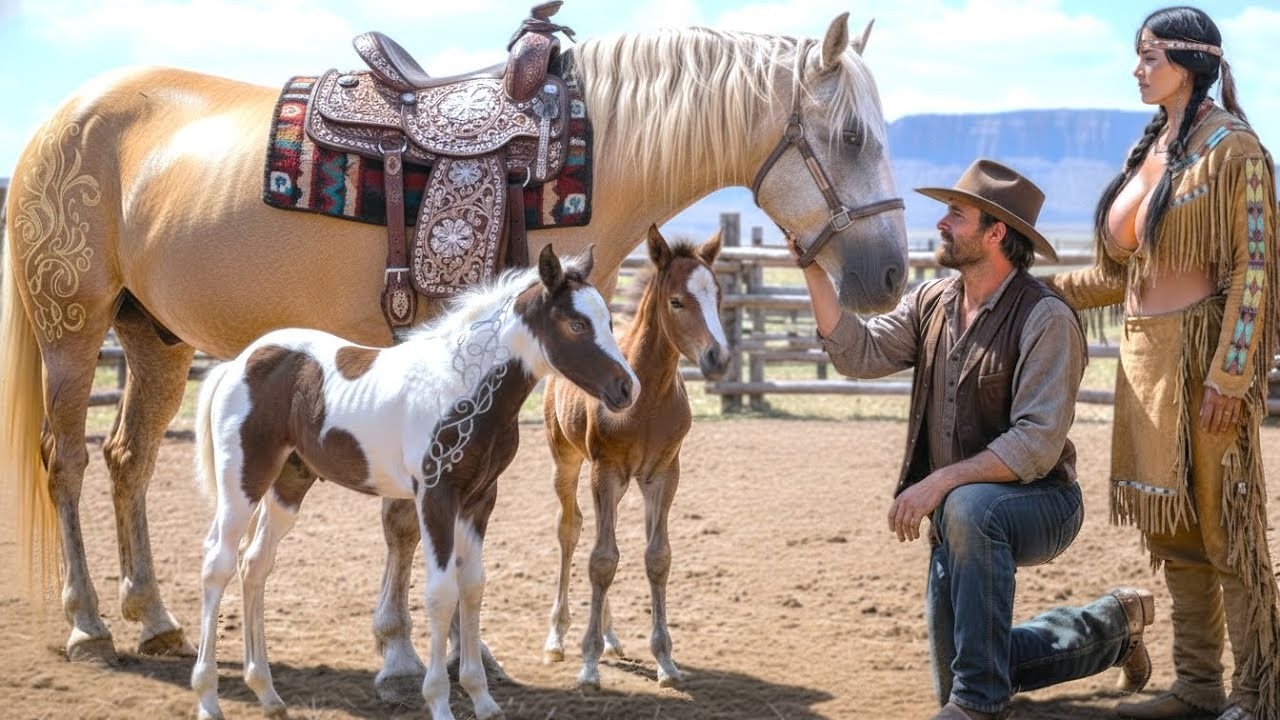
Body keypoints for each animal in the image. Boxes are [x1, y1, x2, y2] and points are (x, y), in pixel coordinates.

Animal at [191, 244, 635, 720]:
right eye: (576, 324)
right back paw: (208, 699)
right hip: (243, 480)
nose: (627, 388)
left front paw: (482, 698)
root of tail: (238, 362)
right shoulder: (435, 496)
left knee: (255, 563)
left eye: (609, 321)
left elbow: (472, 586)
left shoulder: (480, 499)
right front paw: (438, 700)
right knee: (218, 562)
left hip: (289, 483)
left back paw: (267, 692)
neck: (462, 386)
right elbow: (440, 593)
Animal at [542, 225, 727, 689]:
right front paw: (588, 665)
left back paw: (611, 638)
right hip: (567, 461)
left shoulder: (664, 474)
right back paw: (557, 639)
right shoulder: (604, 471)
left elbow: (656, 557)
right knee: (571, 531)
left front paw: (666, 662)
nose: (718, 358)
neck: (648, 397)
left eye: (718, 296)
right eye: (676, 300)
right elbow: (602, 561)